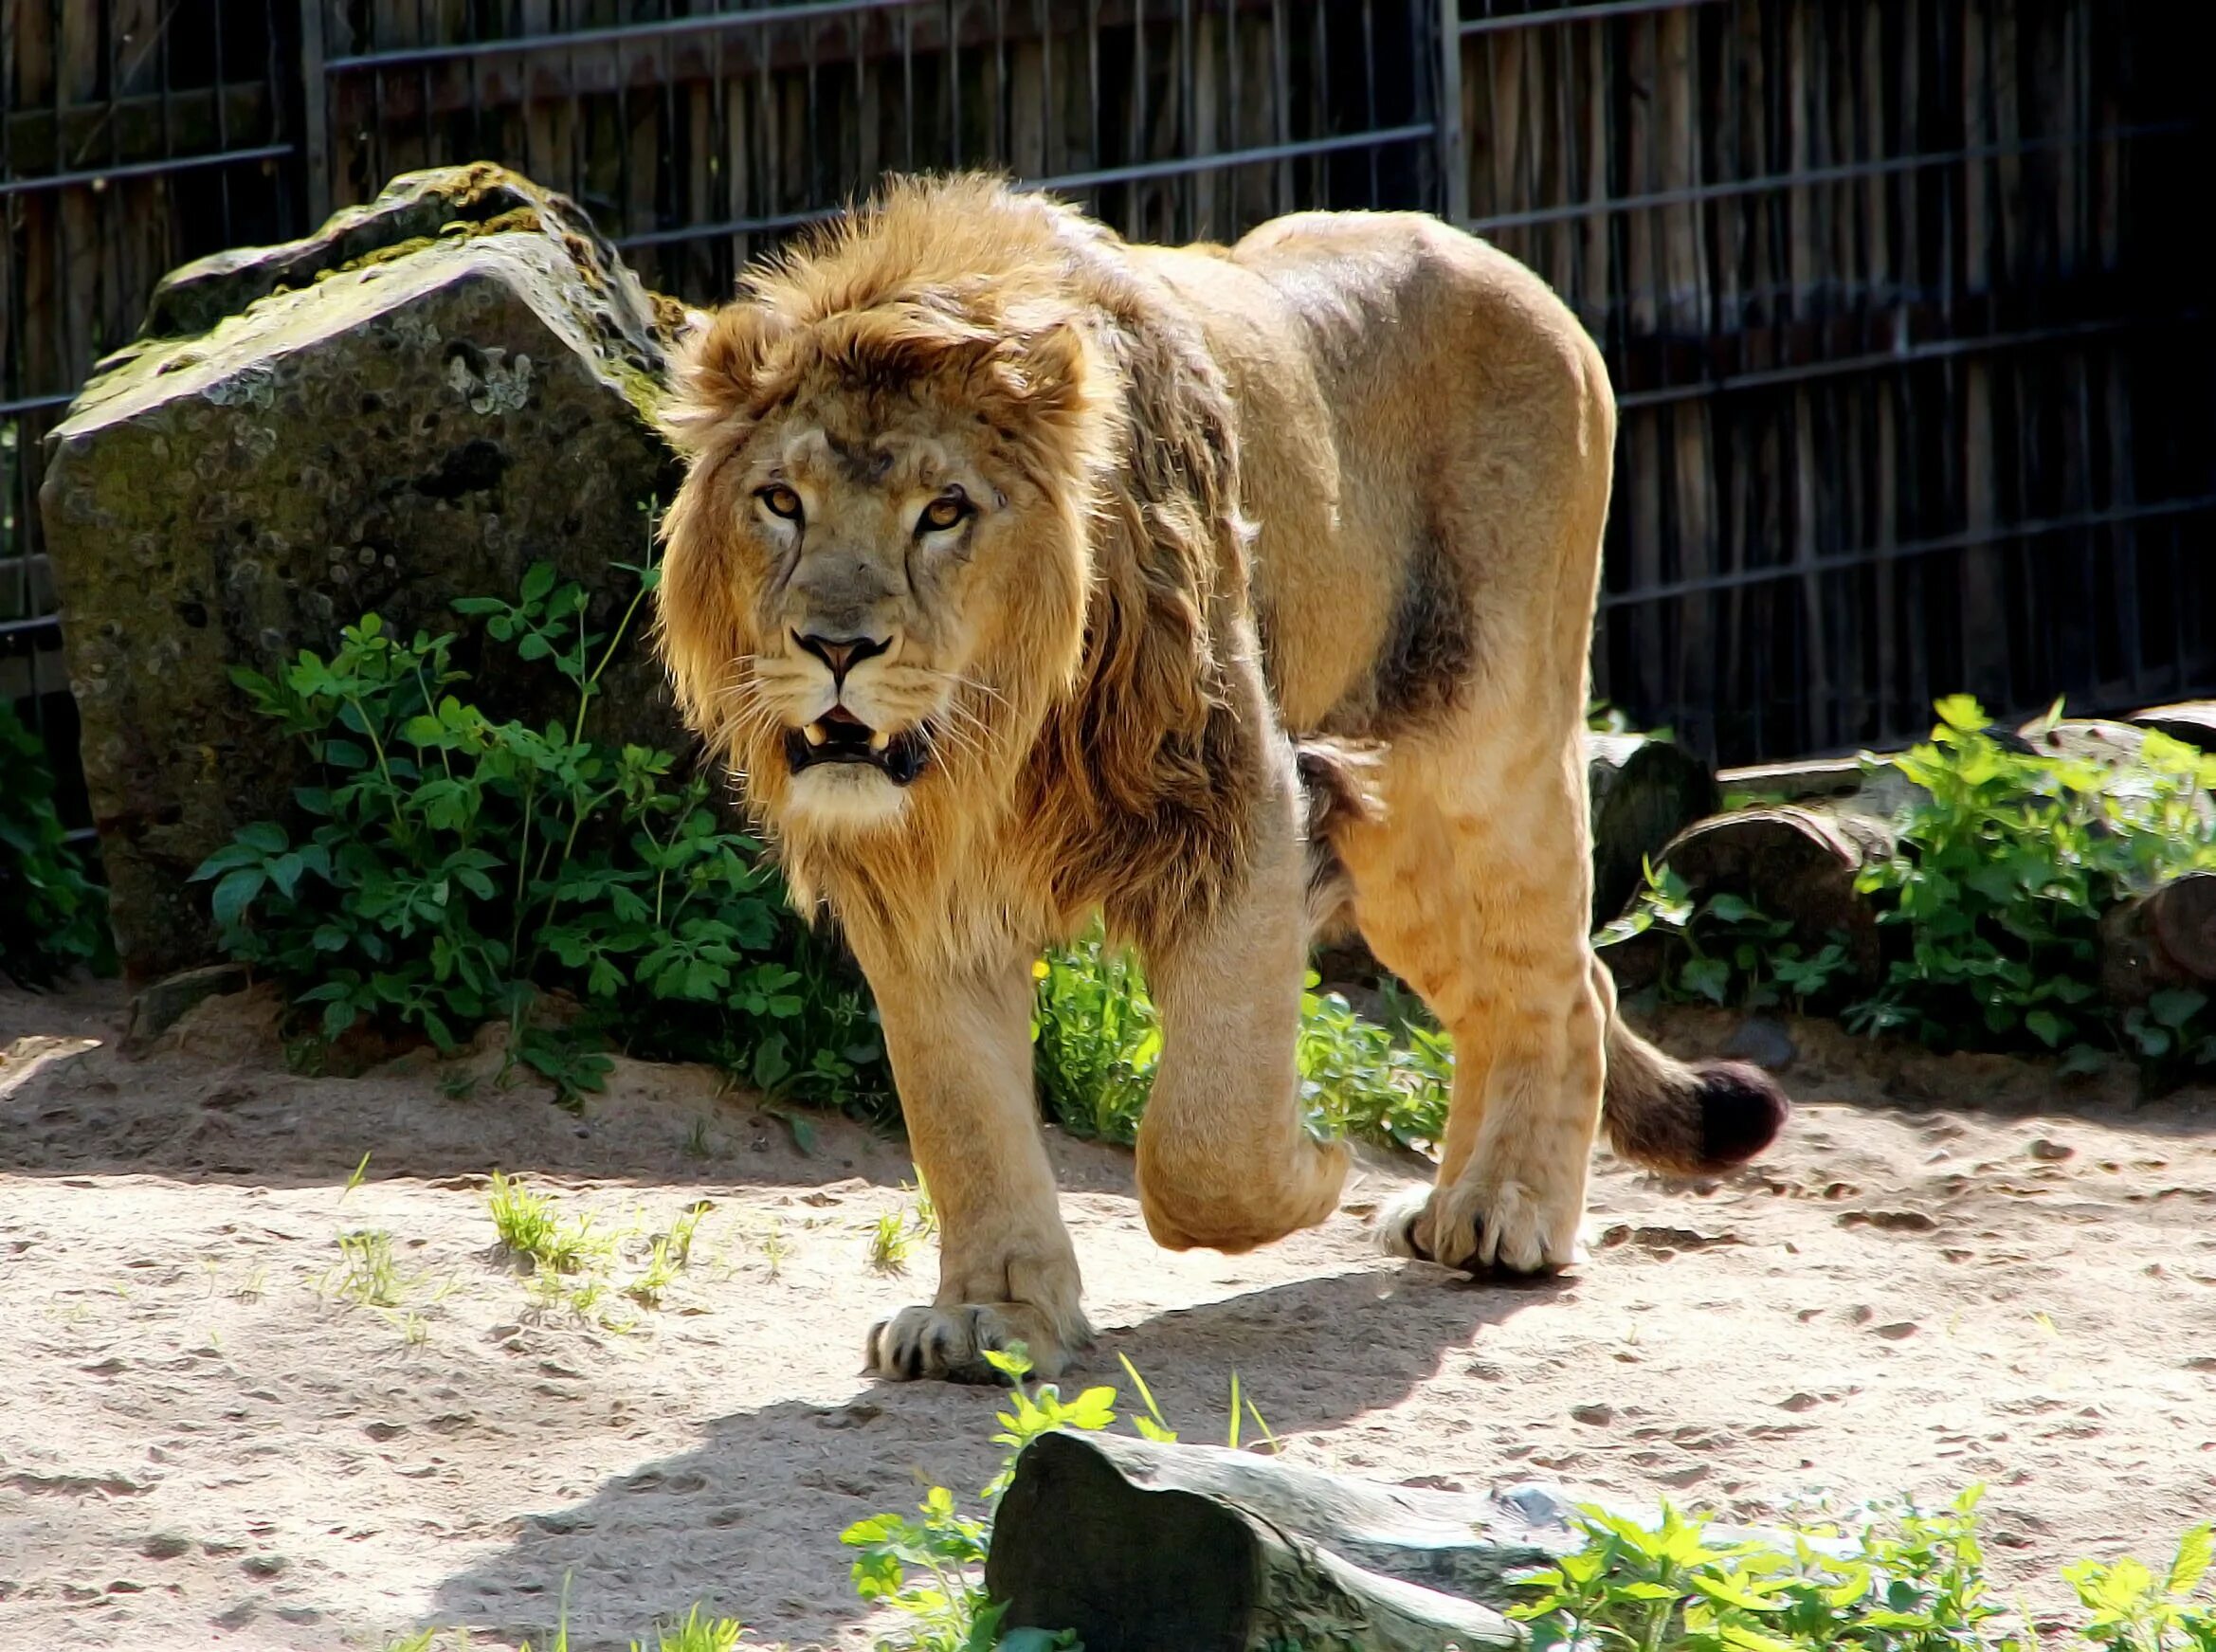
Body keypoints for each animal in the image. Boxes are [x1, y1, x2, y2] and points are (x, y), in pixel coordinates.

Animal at [646, 170, 1790, 1372]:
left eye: (943, 511)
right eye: (781, 501)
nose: (835, 647)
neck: (992, 752)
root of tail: (1524, 282)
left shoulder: (1245, 809)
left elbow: (1204, 1143)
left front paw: (1314, 1167)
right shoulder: (918, 891)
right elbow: (962, 1116)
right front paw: (990, 1319)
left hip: (1488, 745)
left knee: (1559, 982)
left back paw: (1504, 1213)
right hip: (1404, 842)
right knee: (1543, 983)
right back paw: (1450, 1207)